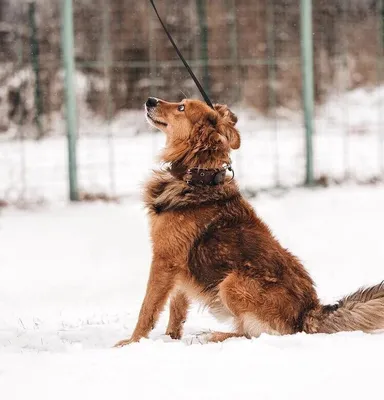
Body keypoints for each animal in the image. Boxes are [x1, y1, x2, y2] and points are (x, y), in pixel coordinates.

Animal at [114, 97, 384, 346]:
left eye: (181, 107)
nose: (150, 100)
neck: (197, 177)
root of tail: (308, 313)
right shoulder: (181, 265)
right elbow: (177, 307)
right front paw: (172, 338)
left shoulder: (164, 260)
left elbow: (148, 308)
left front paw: (132, 342)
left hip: (232, 282)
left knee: (259, 333)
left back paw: (214, 335)